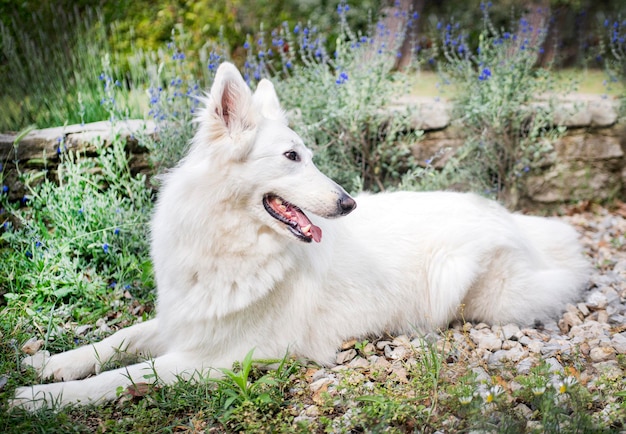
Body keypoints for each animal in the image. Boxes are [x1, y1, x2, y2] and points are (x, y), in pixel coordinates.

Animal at [12, 62, 588, 410]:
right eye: (292, 157)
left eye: (307, 156)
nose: (349, 203)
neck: (229, 244)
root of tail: (511, 219)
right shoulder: (187, 319)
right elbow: (117, 341)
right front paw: (51, 364)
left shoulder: (219, 357)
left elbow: (127, 374)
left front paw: (38, 400)